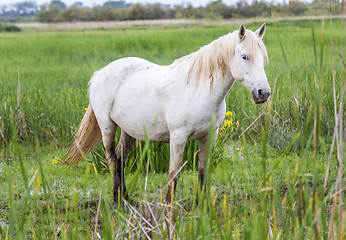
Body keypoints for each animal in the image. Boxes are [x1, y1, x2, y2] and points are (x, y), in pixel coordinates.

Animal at [64, 23, 270, 205]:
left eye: (262, 58)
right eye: (244, 56)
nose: (263, 93)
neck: (199, 90)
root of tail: (101, 73)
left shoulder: (209, 135)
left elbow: (203, 170)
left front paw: (202, 206)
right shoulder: (178, 137)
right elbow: (174, 174)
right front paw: (169, 208)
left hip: (128, 131)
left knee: (121, 159)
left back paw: (126, 200)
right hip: (107, 126)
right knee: (112, 159)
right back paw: (116, 202)